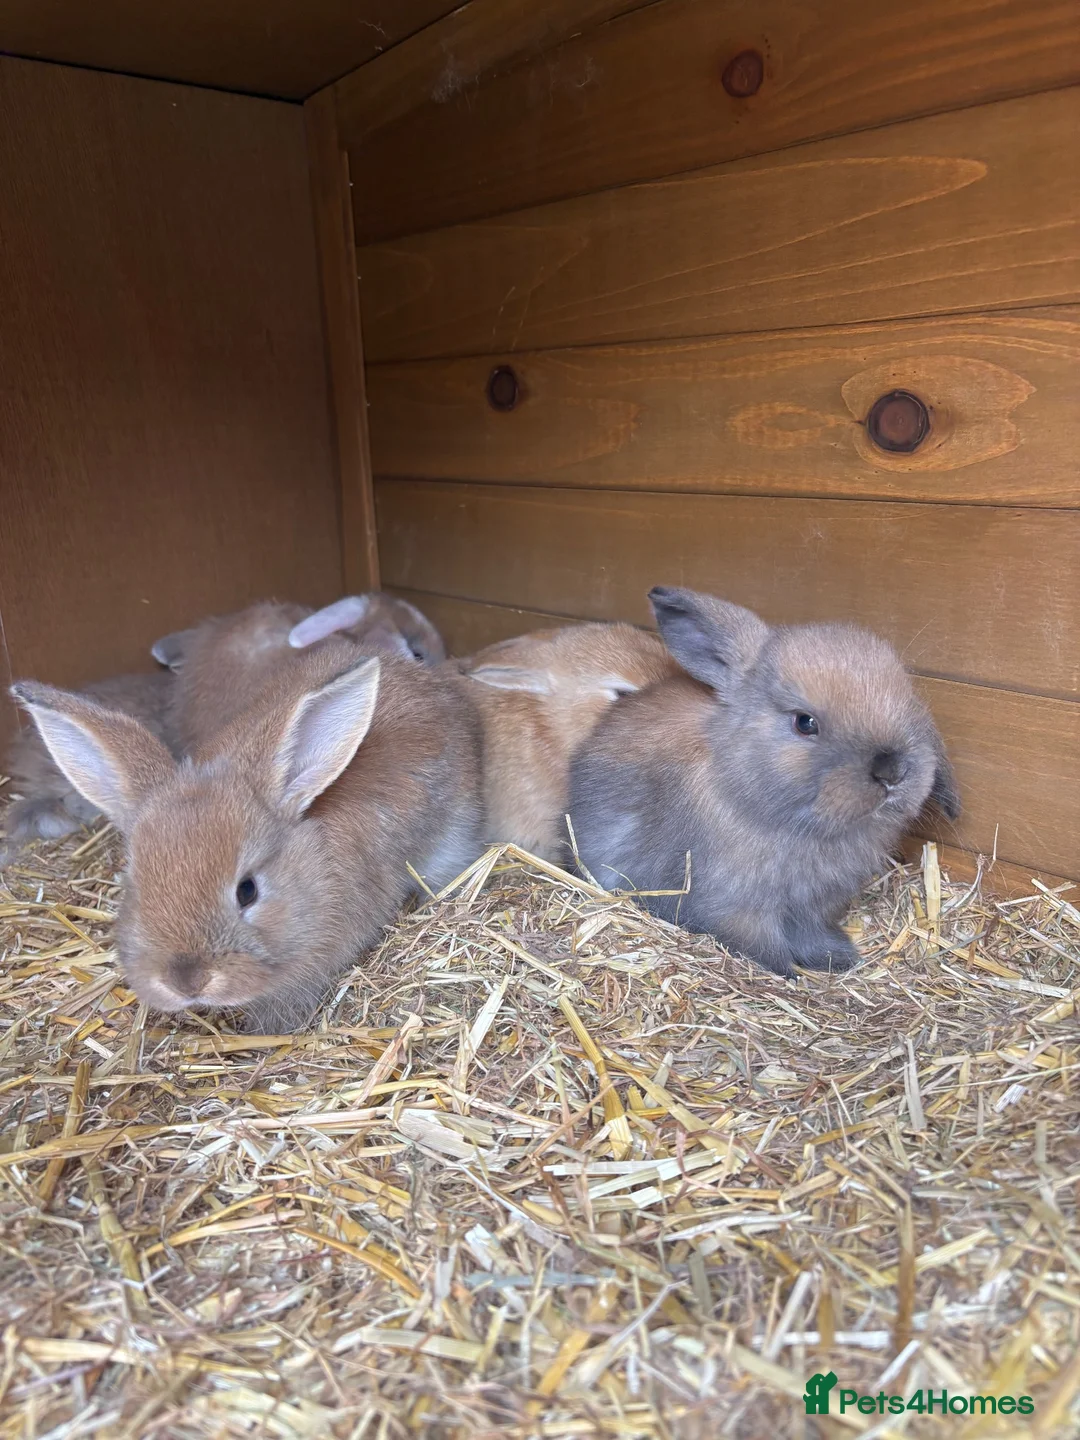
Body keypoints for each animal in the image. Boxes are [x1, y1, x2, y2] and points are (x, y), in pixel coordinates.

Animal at [568, 587, 961, 977]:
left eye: (908, 702)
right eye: (804, 722)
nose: (892, 771)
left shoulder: (814, 909)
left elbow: (812, 936)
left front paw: (839, 959)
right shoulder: (738, 906)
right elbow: (761, 943)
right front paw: (788, 973)